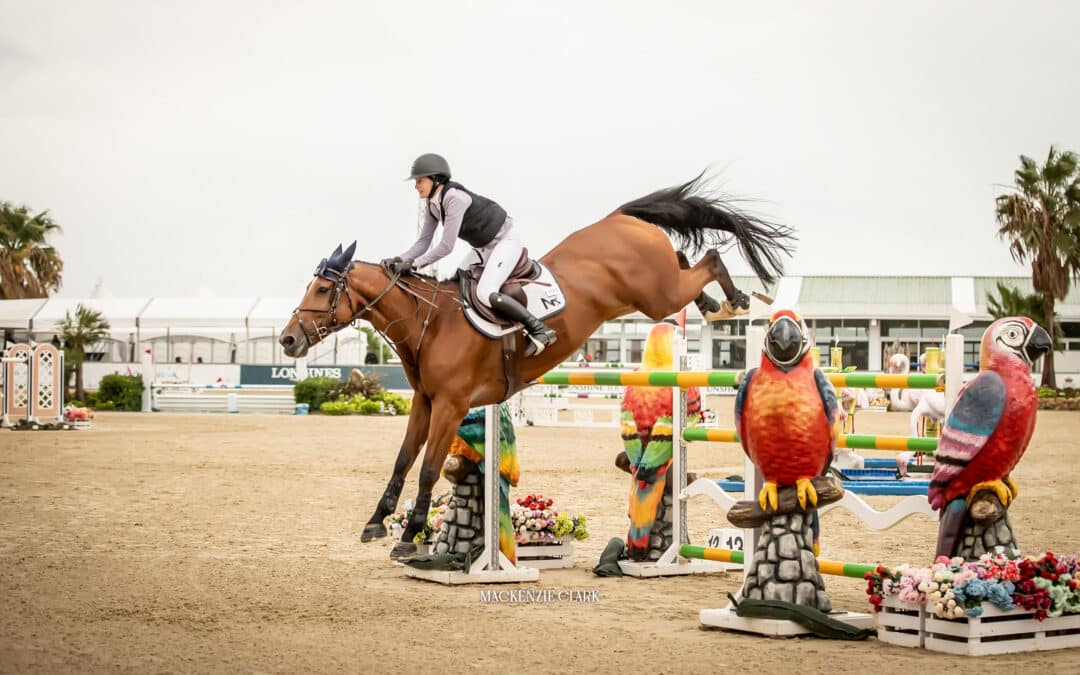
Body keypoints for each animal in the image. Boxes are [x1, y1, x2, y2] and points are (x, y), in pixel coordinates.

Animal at [278, 176, 794, 557]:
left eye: (322, 290)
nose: (287, 340)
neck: (432, 322)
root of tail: (619, 219)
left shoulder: (450, 405)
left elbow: (426, 469)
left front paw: (408, 537)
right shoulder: (424, 402)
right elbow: (403, 461)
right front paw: (376, 522)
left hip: (656, 294)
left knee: (708, 258)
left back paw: (736, 300)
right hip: (653, 294)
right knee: (688, 258)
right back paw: (713, 304)